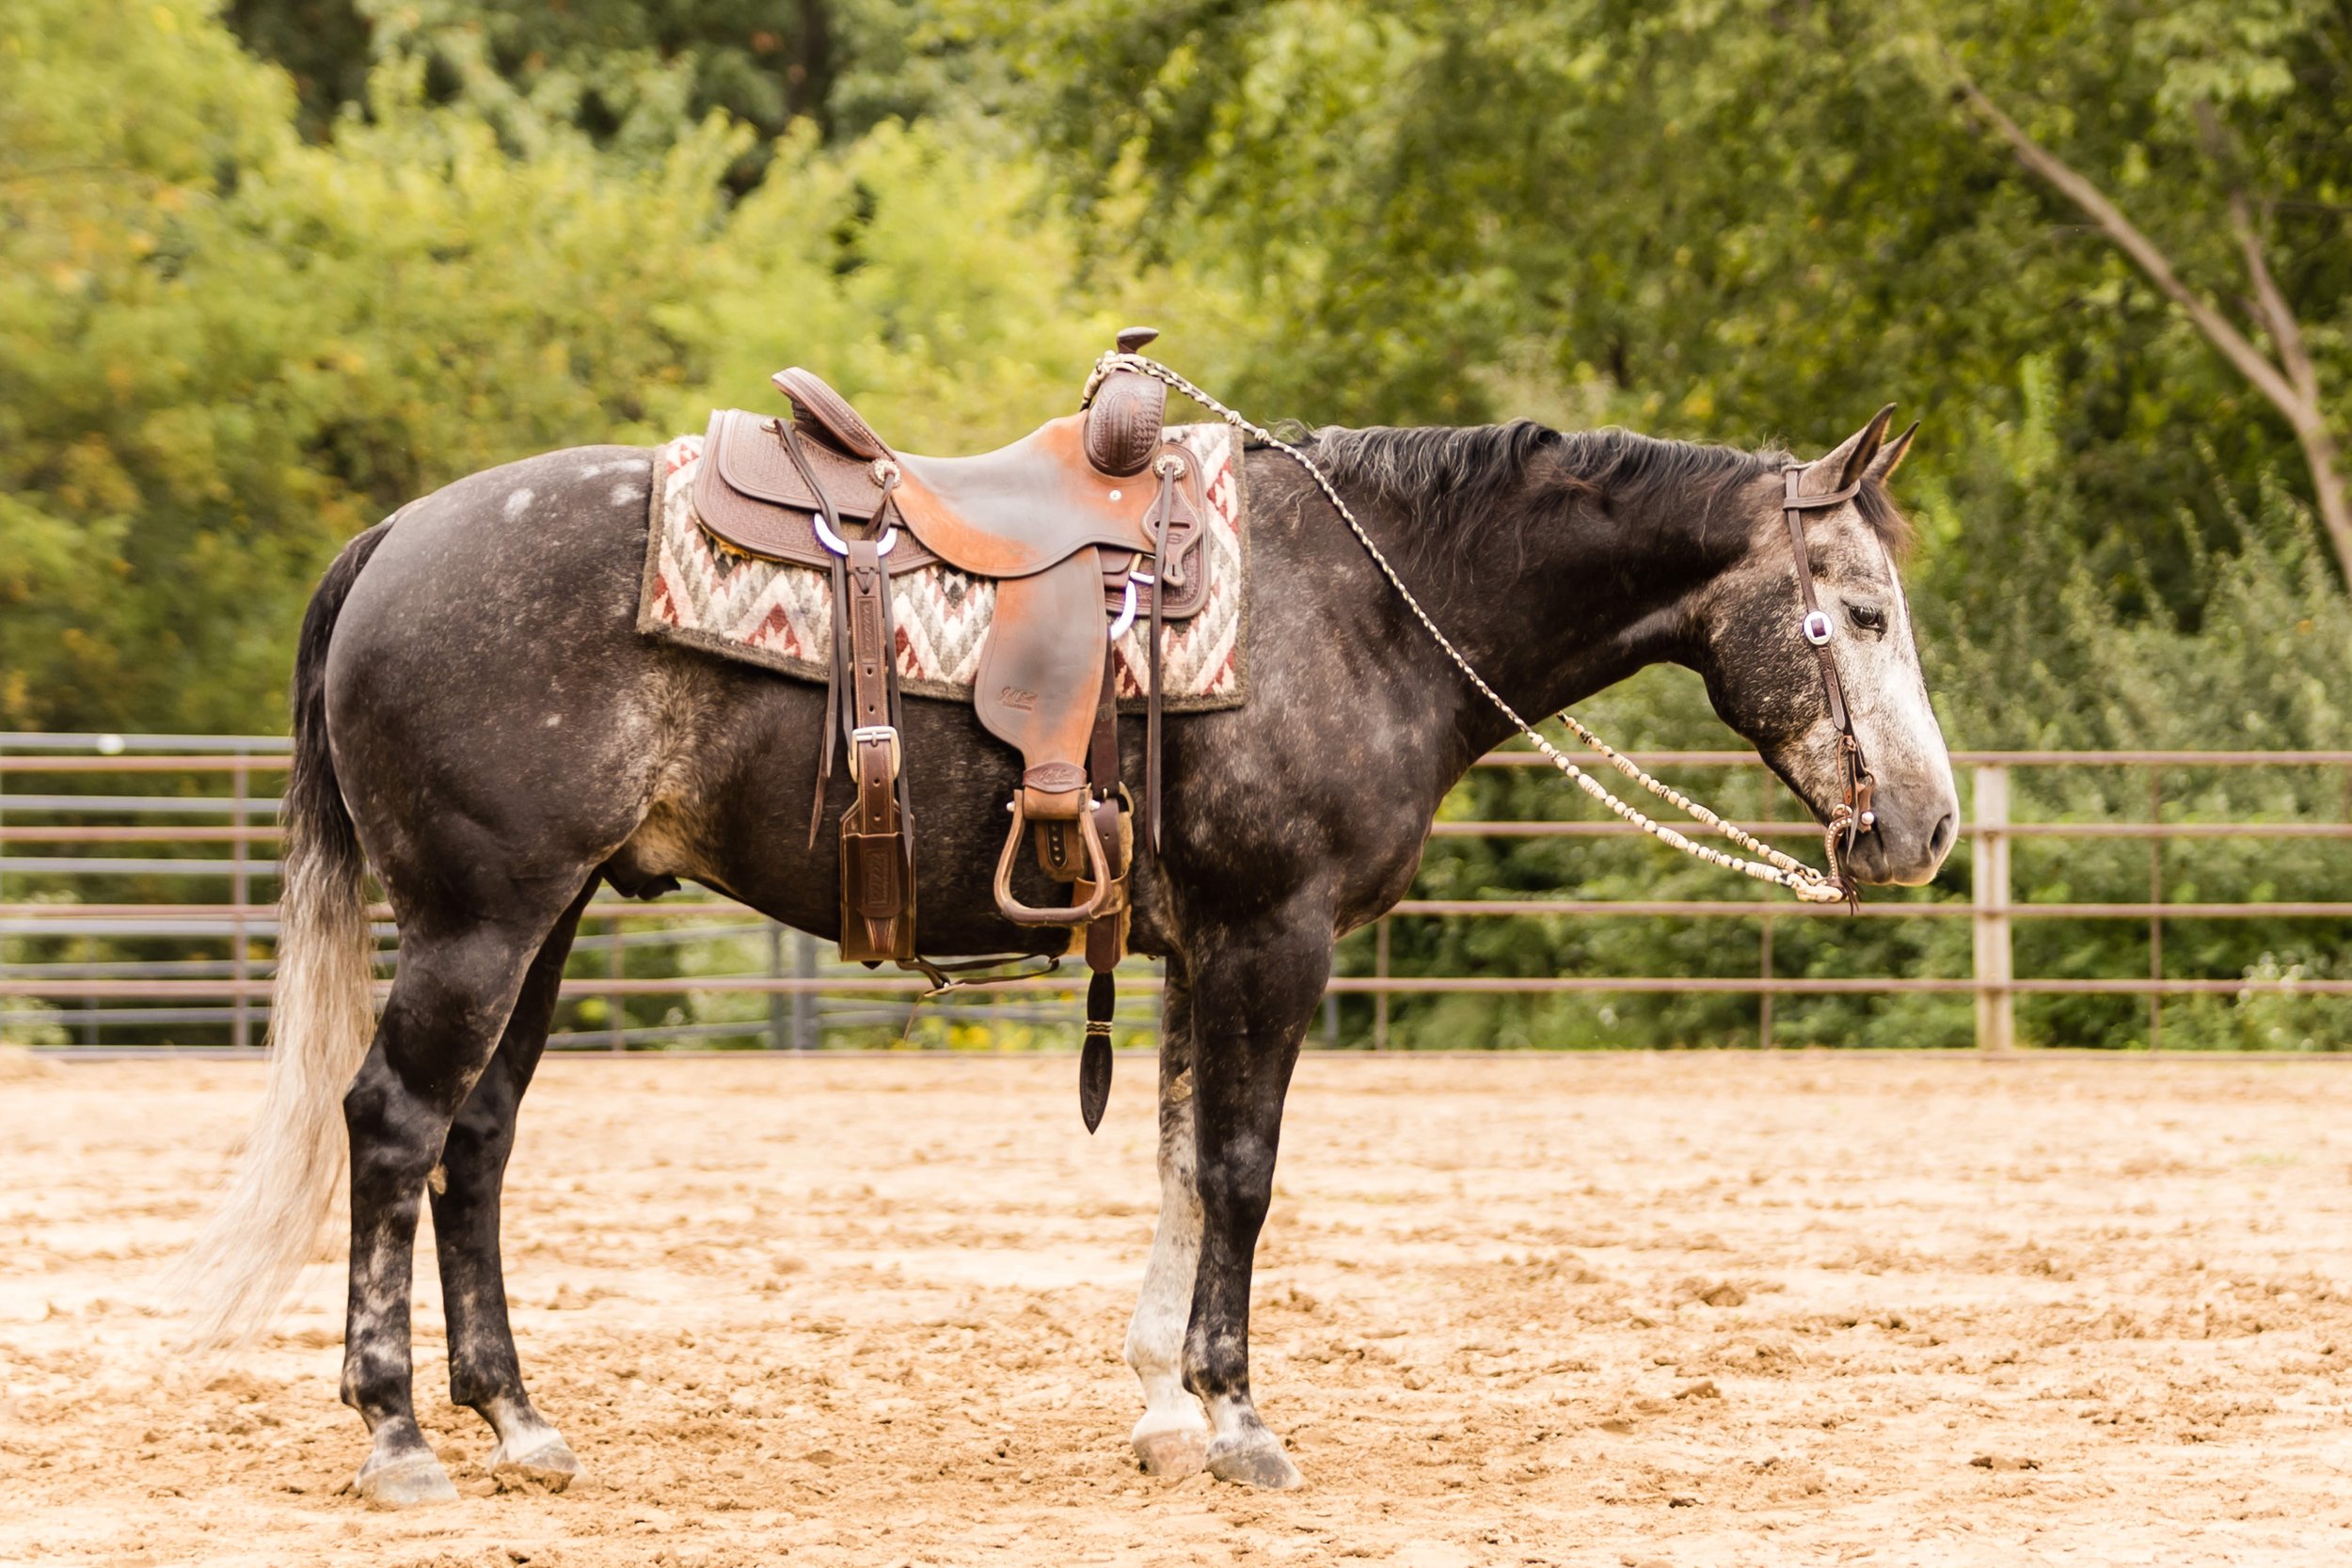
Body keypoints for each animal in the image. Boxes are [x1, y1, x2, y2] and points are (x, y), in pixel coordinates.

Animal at [173, 400, 1958, 1505]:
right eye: (1861, 613)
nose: (1928, 826)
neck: (1369, 606)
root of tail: (392, 539)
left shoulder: (1189, 944)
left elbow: (1173, 1162)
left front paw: (1163, 1406)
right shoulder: (1272, 935)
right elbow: (1240, 1169)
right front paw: (1238, 1416)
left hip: (544, 919)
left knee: (474, 1144)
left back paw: (518, 1420)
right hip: (479, 918)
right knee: (392, 1126)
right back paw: (398, 1433)